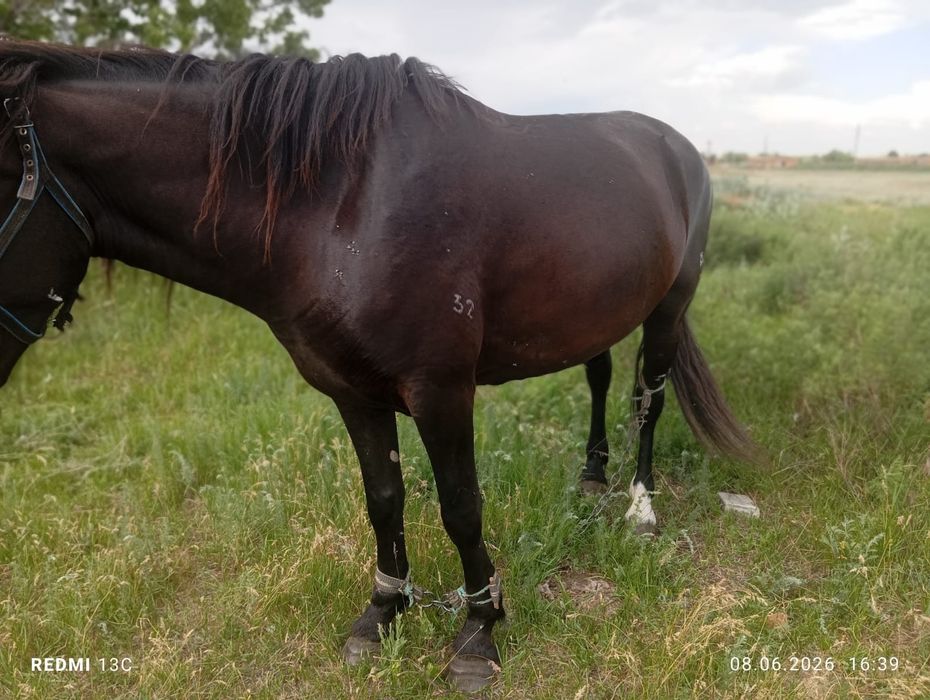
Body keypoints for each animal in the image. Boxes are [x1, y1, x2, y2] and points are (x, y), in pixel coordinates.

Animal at [0, 40, 756, 692]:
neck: (341, 207)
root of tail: (676, 148)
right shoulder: (352, 391)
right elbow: (383, 499)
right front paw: (384, 611)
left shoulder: (441, 390)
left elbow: (460, 507)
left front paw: (479, 630)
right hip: (595, 308)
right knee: (600, 379)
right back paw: (593, 477)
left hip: (668, 308)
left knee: (649, 399)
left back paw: (639, 508)